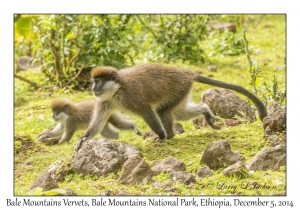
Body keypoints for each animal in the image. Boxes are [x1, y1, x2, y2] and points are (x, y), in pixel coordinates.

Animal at [74, 63, 266, 150]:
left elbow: (148, 112)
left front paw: (160, 135)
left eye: (98, 82)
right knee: (180, 113)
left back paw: (169, 135)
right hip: (183, 91)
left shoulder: (131, 98)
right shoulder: (104, 101)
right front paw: (84, 138)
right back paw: (205, 111)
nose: (93, 88)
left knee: (162, 110)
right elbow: (99, 121)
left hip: (179, 88)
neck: (116, 90)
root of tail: (186, 73)